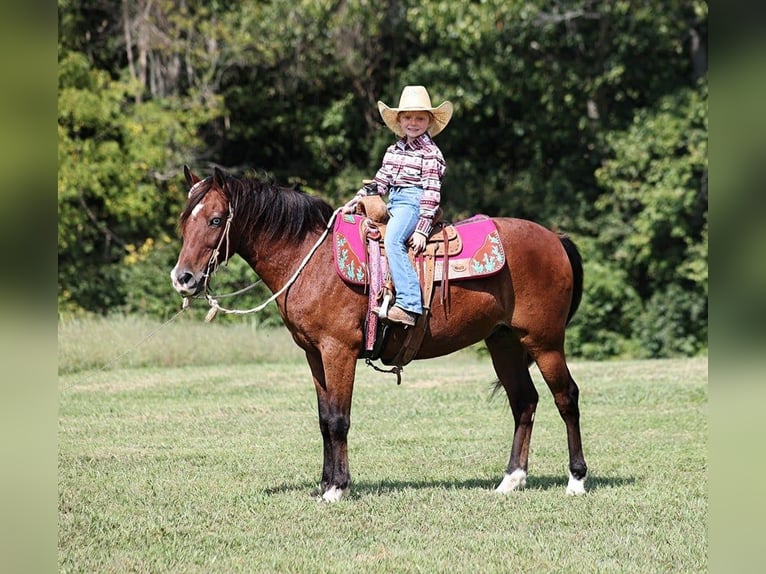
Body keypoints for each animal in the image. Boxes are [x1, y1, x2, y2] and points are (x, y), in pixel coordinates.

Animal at [170, 166, 587, 502]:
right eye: (184, 221)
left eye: (215, 220)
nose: (183, 278)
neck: (312, 259)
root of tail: (555, 238)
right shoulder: (314, 354)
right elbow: (324, 419)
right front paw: (325, 483)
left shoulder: (339, 350)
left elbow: (339, 419)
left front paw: (337, 489)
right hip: (504, 342)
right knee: (524, 402)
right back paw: (511, 480)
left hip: (545, 342)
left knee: (566, 398)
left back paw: (576, 480)